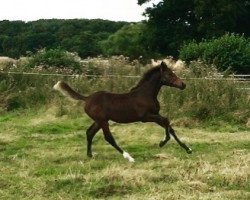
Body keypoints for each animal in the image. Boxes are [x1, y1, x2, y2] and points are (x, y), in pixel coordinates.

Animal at [53, 61, 192, 162]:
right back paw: (129, 157)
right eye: (169, 75)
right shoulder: (146, 117)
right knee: (108, 137)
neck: (146, 94)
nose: (183, 85)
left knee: (89, 133)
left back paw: (90, 155)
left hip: (99, 121)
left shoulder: (155, 115)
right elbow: (166, 121)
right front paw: (162, 142)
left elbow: (170, 127)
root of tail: (87, 98)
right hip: (103, 121)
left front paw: (188, 149)